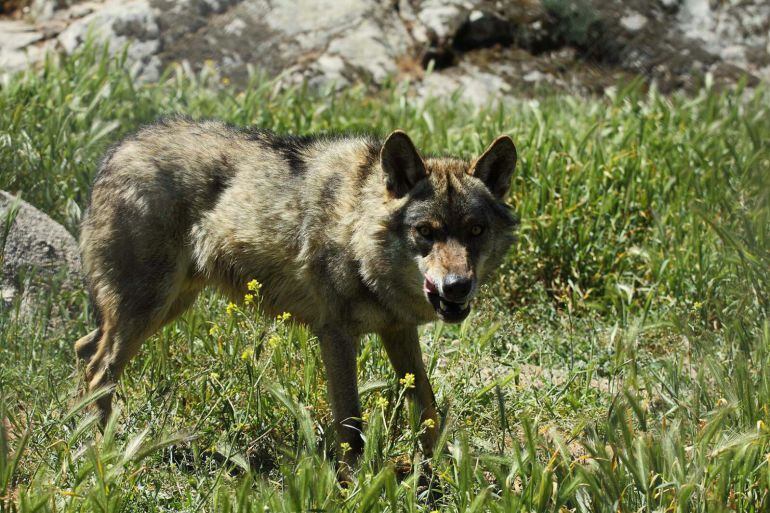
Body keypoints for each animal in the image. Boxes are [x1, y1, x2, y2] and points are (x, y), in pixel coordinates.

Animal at [73, 117, 516, 472]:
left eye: (476, 230)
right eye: (425, 231)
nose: (457, 286)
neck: (356, 229)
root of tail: (115, 152)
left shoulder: (398, 331)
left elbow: (427, 407)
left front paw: (440, 475)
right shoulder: (335, 336)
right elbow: (351, 424)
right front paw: (354, 484)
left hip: (165, 308)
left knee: (84, 348)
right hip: (146, 310)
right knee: (99, 368)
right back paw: (103, 450)